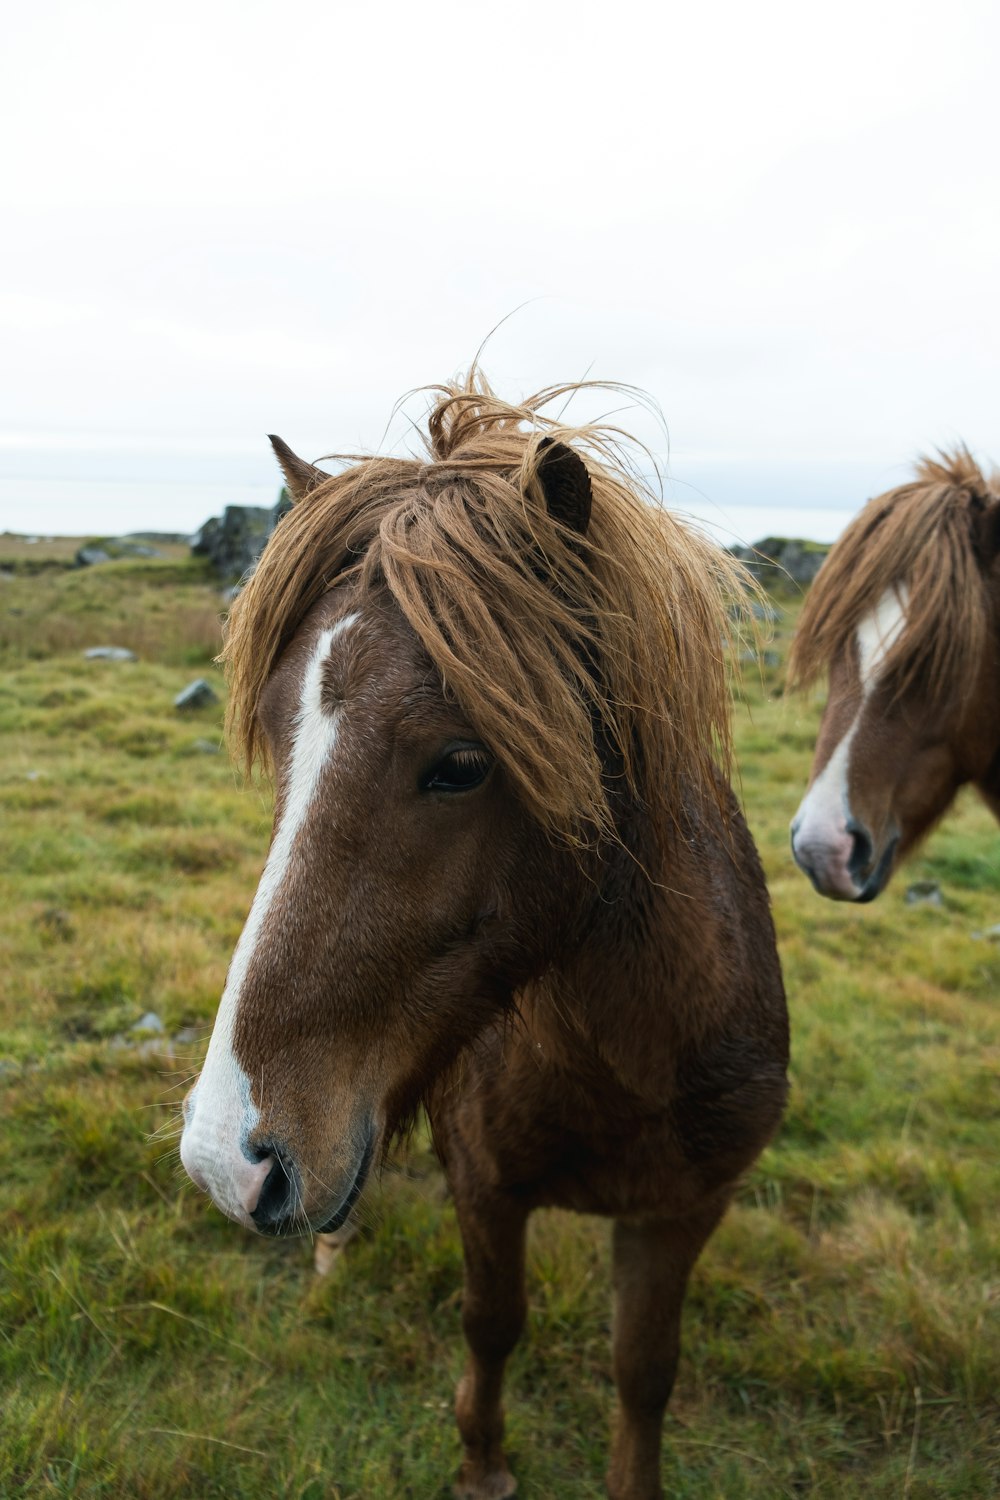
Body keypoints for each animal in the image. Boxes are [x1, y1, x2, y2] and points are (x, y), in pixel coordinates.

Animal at [179, 378, 791, 1500]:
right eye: (279, 736)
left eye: (462, 763)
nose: (222, 1157)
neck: (627, 1058)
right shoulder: (486, 1187)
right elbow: (491, 1324)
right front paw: (482, 1465)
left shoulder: (684, 1211)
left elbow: (645, 1371)